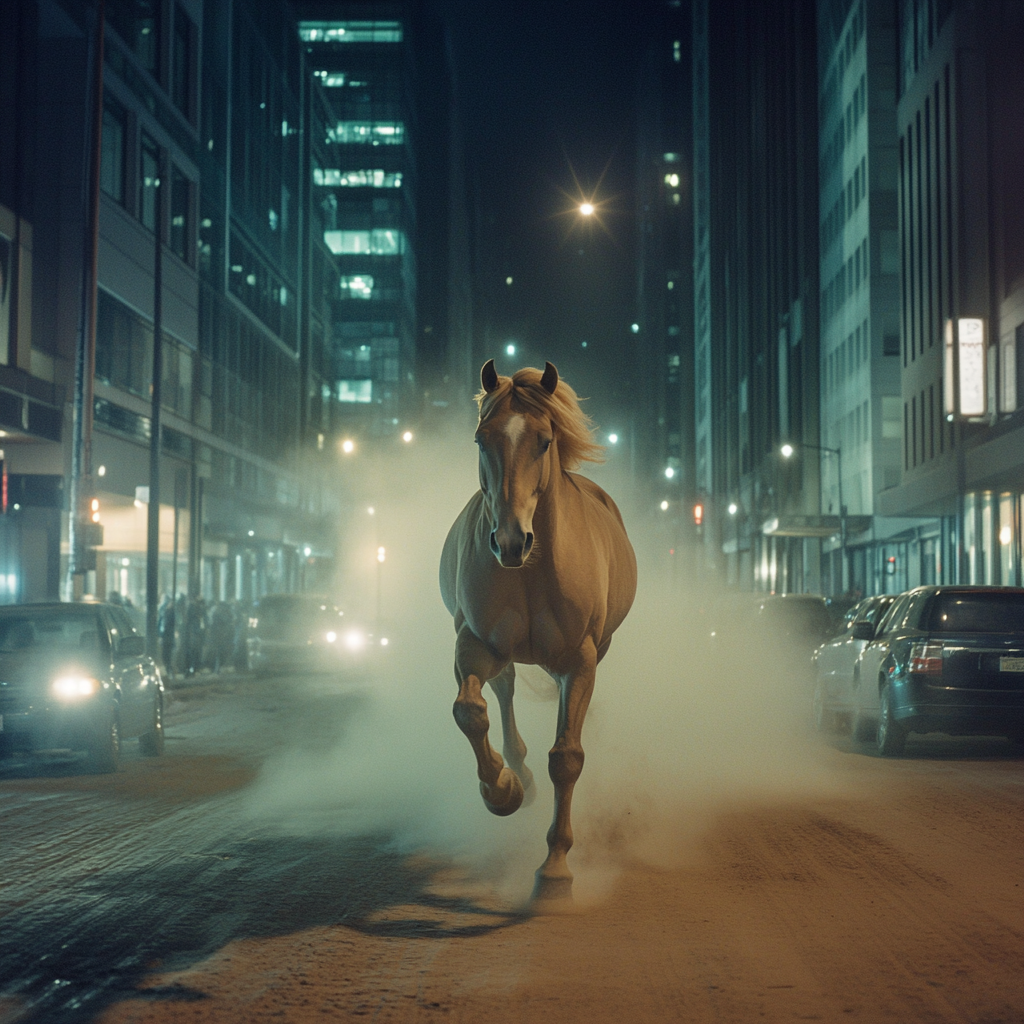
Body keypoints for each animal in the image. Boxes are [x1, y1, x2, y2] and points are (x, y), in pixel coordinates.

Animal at [438, 360, 634, 905]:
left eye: (545, 441)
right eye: (481, 439)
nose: (509, 542)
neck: (531, 569)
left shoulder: (578, 661)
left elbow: (566, 757)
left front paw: (556, 870)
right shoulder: (474, 643)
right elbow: (469, 711)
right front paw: (503, 790)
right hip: (500, 653)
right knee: (501, 691)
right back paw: (516, 769)